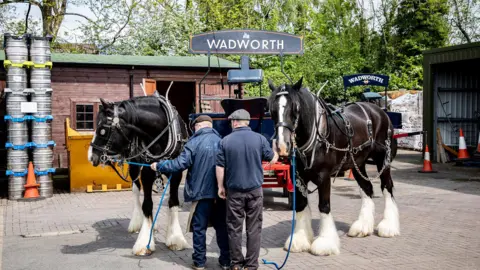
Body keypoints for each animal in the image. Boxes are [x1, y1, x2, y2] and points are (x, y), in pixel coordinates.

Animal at [88, 96, 189, 256]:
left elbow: (173, 201)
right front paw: (144, 242)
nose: (91, 156)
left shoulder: (177, 172)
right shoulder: (147, 172)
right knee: (136, 191)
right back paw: (138, 223)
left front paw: (175, 238)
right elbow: (147, 204)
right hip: (134, 166)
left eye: (102, 129)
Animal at [268, 78, 400, 258]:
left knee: (387, 187)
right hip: (357, 163)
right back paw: (362, 227)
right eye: (272, 110)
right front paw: (300, 240)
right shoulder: (298, 176)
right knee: (367, 188)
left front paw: (325, 243)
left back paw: (388, 227)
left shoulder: (324, 177)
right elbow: (301, 204)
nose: (282, 146)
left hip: (383, 160)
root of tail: (379, 111)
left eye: (296, 108)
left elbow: (324, 206)